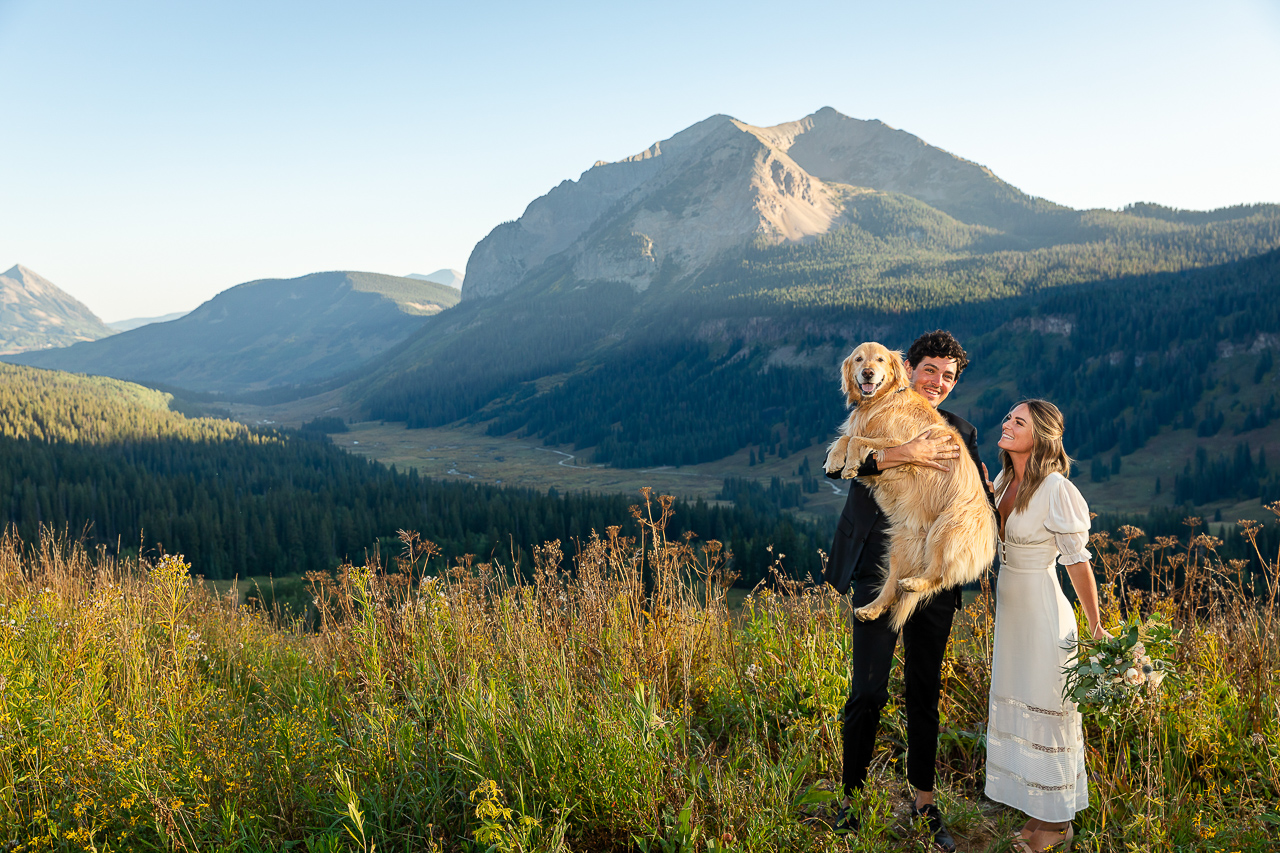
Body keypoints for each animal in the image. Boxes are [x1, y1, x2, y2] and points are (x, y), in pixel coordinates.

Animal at [824, 343, 993, 627]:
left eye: (880, 359)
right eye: (859, 359)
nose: (867, 373)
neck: (881, 401)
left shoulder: (899, 443)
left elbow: (857, 439)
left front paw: (850, 465)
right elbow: (845, 437)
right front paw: (835, 461)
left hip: (946, 528)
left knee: (938, 574)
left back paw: (915, 583)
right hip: (901, 543)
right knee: (892, 587)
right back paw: (871, 609)